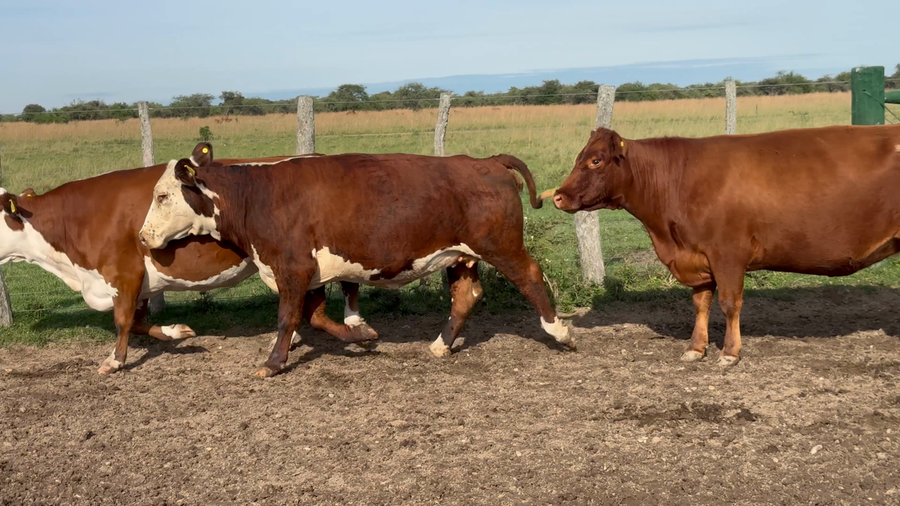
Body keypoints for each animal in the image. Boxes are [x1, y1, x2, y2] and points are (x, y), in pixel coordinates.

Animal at [0, 154, 376, 375]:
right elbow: (138, 322)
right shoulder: (138, 284)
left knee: (347, 284)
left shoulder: (125, 274)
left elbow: (122, 321)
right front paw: (177, 332)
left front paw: (114, 360)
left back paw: (353, 322)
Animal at [138, 143, 575, 377]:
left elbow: (287, 318)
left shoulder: (292, 268)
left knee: (531, 277)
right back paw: (440, 345)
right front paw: (362, 336)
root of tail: (486, 161)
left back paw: (560, 332)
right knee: (466, 296)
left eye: (162, 195)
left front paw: (274, 362)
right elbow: (315, 317)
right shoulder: (312, 273)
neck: (258, 196)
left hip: (501, 245)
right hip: (461, 256)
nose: (142, 237)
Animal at [551, 124, 900, 366]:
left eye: (596, 160)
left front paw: (730, 353)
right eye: (579, 158)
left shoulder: (728, 254)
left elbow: (730, 303)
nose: (558, 196)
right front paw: (695, 348)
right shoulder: (696, 257)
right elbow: (700, 304)